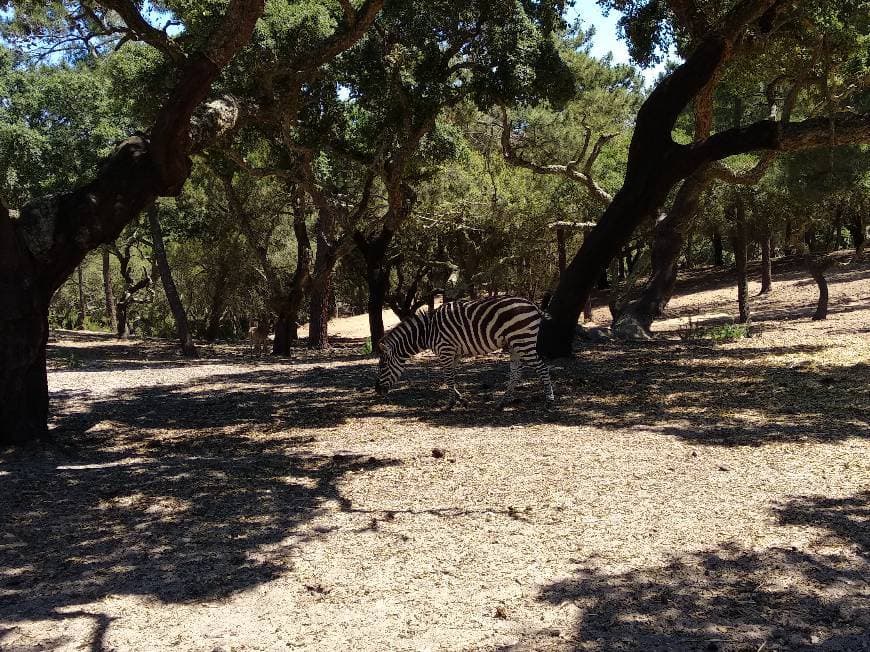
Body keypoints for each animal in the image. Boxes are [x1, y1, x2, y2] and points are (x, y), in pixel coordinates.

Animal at [372, 298, 552, 410]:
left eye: (383, 366)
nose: (377, 390)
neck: (427, 333)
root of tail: (532, 304)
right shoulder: (454, 353)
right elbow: (450, 378)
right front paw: (461, 400)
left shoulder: (445, 350)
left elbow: (448, 378)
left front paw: (450, 404)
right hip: (515, 345)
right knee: (516, 374)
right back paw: (502, 403)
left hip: (523, 341)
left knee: (542, 368)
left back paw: (549, 401)